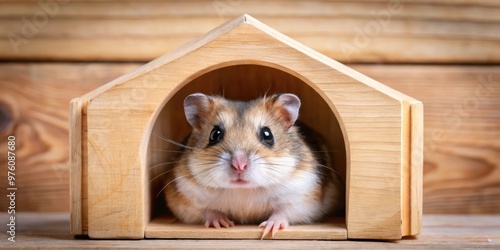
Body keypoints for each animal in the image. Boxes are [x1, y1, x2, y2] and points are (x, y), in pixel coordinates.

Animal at [164, 92, 344, 238]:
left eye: (267, 135)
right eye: (215, 134)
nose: (239, 165)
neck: (243, 190)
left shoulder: (303, 198)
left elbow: (284, 211)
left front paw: (268, 229)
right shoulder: (186, 198)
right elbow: (207, 210)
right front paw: (222, 223)